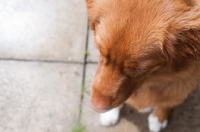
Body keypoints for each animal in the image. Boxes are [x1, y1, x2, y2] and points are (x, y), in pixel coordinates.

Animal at [85, 0, 200, 131]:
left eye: (137, 69)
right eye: (99, 49)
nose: (96, 107)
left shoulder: (185, 82)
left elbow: (169, 101)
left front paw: (159, 117)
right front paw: (110, 114)